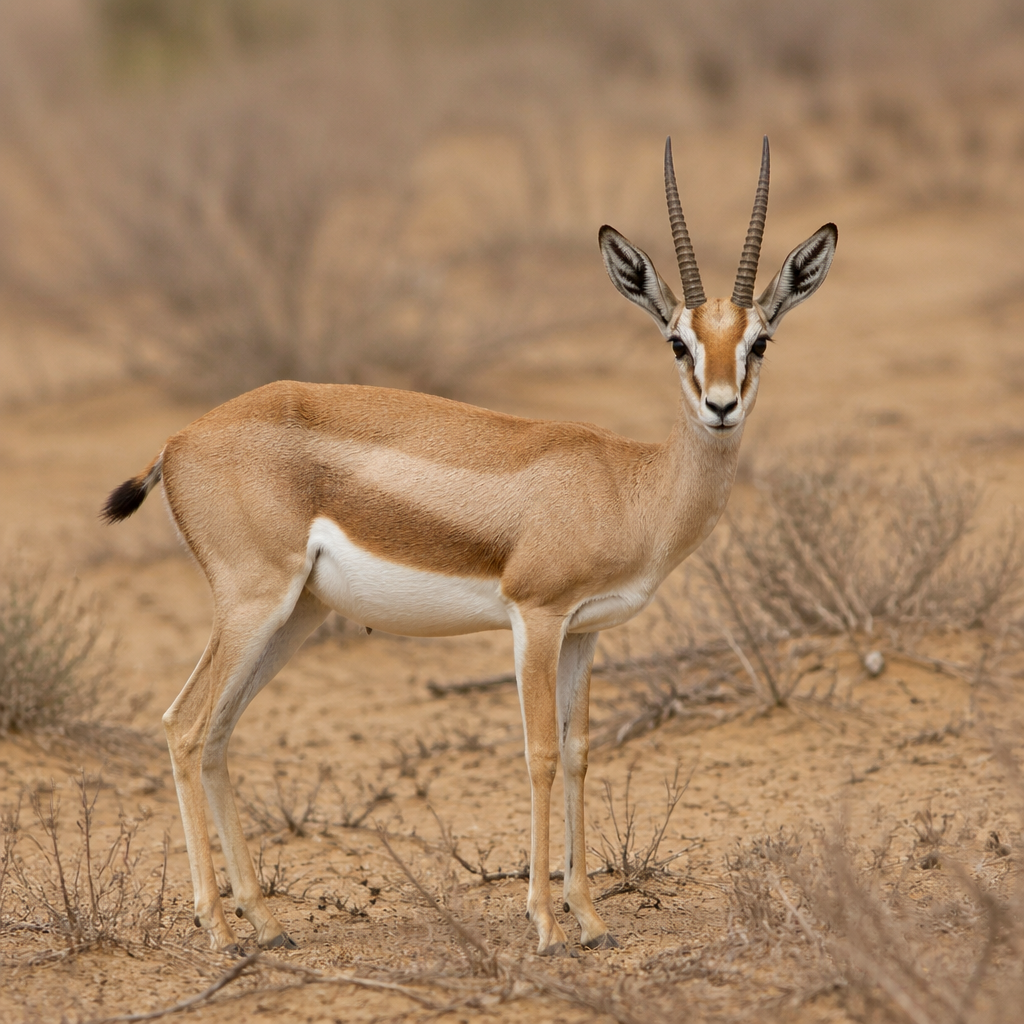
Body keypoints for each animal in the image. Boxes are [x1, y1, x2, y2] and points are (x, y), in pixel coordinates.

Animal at [102, 136, 836, 956]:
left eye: (759, 341)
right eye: (679, 341)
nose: (720, 407)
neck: (627, 484)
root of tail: (177, 442)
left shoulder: (586, 633)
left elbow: (580, 754)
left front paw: (592, 919)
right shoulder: (536, 619)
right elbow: (540, 754)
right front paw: (546, 924)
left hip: (294, 617)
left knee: (220, 733)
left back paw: (265, 922)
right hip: (252, 604)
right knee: (184, 726)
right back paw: (220, 929)